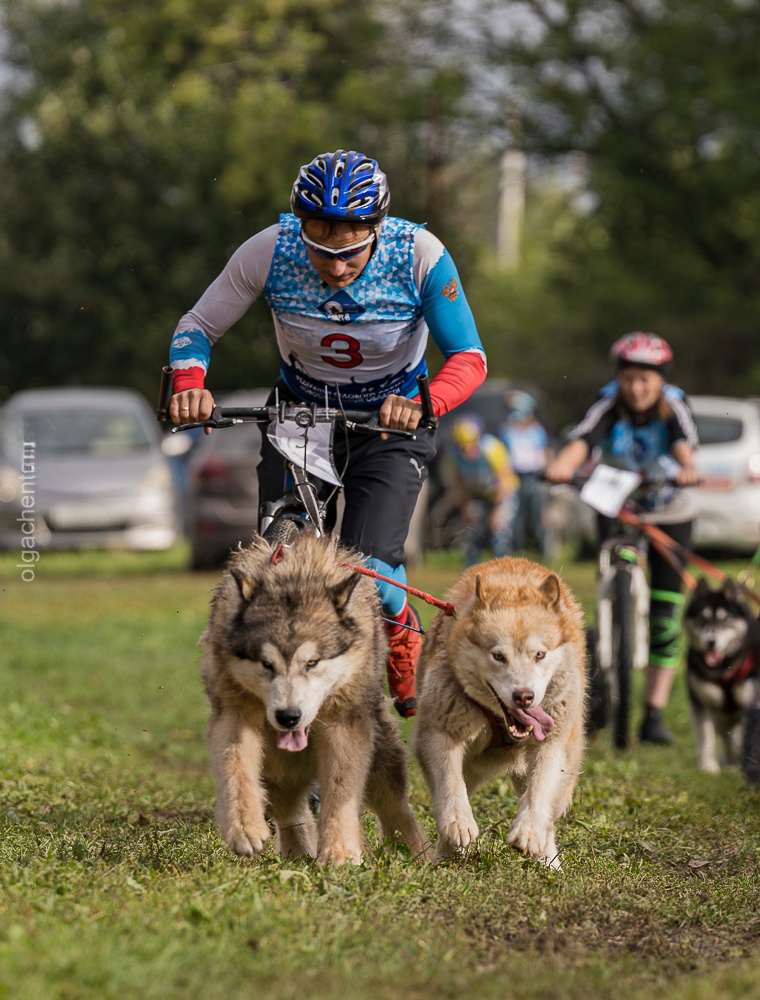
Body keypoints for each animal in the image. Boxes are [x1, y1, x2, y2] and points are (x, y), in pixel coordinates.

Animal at [202, 532, 428, 868]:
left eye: (312, 663)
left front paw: (340, 852)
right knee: (290, 810)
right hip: (277, 769)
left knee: (395, 806)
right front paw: (244, 827)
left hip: (381, 756)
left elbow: (342, 789)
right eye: (266, 664)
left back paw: (418, 852)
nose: (288, 716)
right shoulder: (233, 714)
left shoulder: (345, 725)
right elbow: (236, 768)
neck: (295, 576)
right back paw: (297, 853)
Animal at [416, 556, 588, 868]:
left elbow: (540, 787)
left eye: (540, 654)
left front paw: (529, 833)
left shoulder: (552, 742)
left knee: (549, 811)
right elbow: (450, 781)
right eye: (498, 656)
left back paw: (549, 859)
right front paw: (458, 824)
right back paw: (446, 854)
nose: (524, 697)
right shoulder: (438, 731)